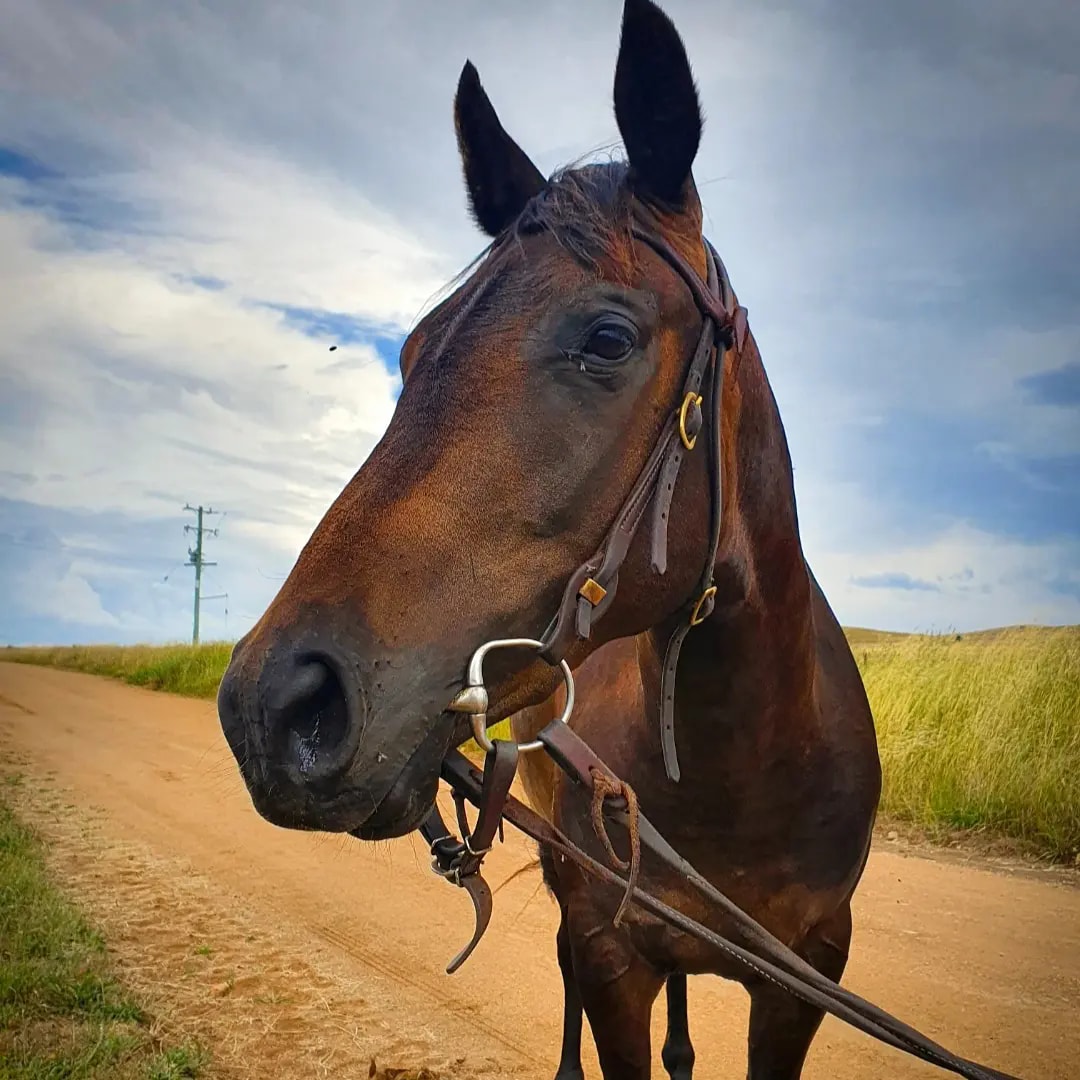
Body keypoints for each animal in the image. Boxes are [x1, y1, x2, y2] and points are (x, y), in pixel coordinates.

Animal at [215, 1, 882, 1076]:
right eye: (411, 352)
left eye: (608, 339)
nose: (273, 705)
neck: (747, 768)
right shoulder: (612, 953)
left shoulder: (805, 981)